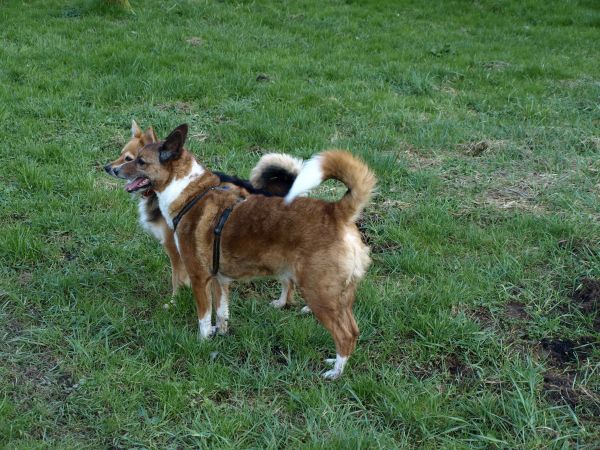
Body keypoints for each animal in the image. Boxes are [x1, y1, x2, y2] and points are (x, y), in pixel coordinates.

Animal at [104, 119, 304, 310]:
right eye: (121, 155)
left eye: (131, 159)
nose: (108, 168)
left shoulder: (175, 248)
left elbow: (176, 279)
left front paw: (174, 302)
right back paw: (283, 304)